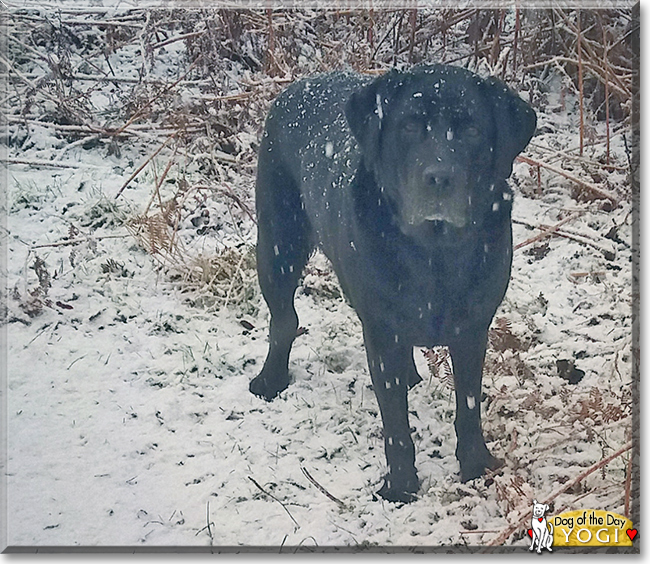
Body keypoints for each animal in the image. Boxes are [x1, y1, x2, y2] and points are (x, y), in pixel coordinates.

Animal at [251, 66, 536, 502]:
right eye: (410, 126)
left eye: (472, 130)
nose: (439, 178)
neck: (434, 255)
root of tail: (302, 81)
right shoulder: (381, 333)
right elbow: (395, 421)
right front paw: (400, 486)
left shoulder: (473, 329)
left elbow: (468, 405)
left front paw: (475, 465)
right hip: (277, 244)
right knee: (283, 320)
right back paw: (270, 380)